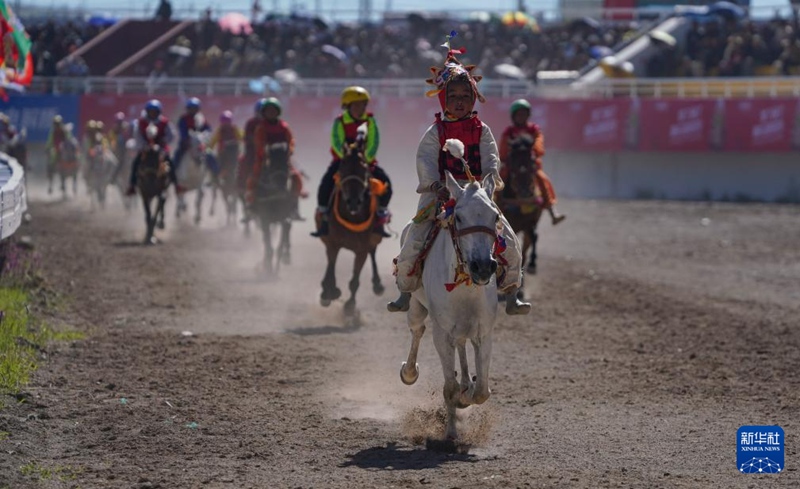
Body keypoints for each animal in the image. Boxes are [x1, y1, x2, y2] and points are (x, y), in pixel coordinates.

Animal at [322, 132, 388, 314]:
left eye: (364, 166)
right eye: (343, 164)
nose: (353, 201)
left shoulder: (361, 249)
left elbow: (355, 280)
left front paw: (350, 307)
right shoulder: (333, 242)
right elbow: (331, 266)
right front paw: (328, 292)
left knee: (373, 251)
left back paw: (377, 285)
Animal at [400, 162, 500, 440]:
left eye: (495, 217)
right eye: (460, 217)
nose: (483, 267)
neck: (465, 288)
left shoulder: (484, 332)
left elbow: (482, 390)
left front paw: (468, 393)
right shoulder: (442, 333)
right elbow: (449, 388)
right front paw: (451, 432)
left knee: (463, 345)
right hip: (416, 308)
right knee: (417, 330)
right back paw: (409, 372)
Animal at [494, 138, 544, 274]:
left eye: (532, 161)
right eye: (512, 163)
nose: (525, 191)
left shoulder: (530, 222)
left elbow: (533, 237)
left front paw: (532, 263)